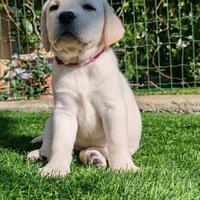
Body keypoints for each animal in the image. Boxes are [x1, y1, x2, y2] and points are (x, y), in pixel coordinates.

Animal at [27, 0, 141, 176]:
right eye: (54, 7)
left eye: (88, 7)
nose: (65, 16)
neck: (79, 66)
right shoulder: (64, 111)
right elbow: (60, 142)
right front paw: (55, 169)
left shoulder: (112, 108)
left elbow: (116, 140)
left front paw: (124, 166)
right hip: (50, 120)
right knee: (49, 142)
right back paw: (39, 154)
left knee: (95, 150)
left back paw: (94, 157)